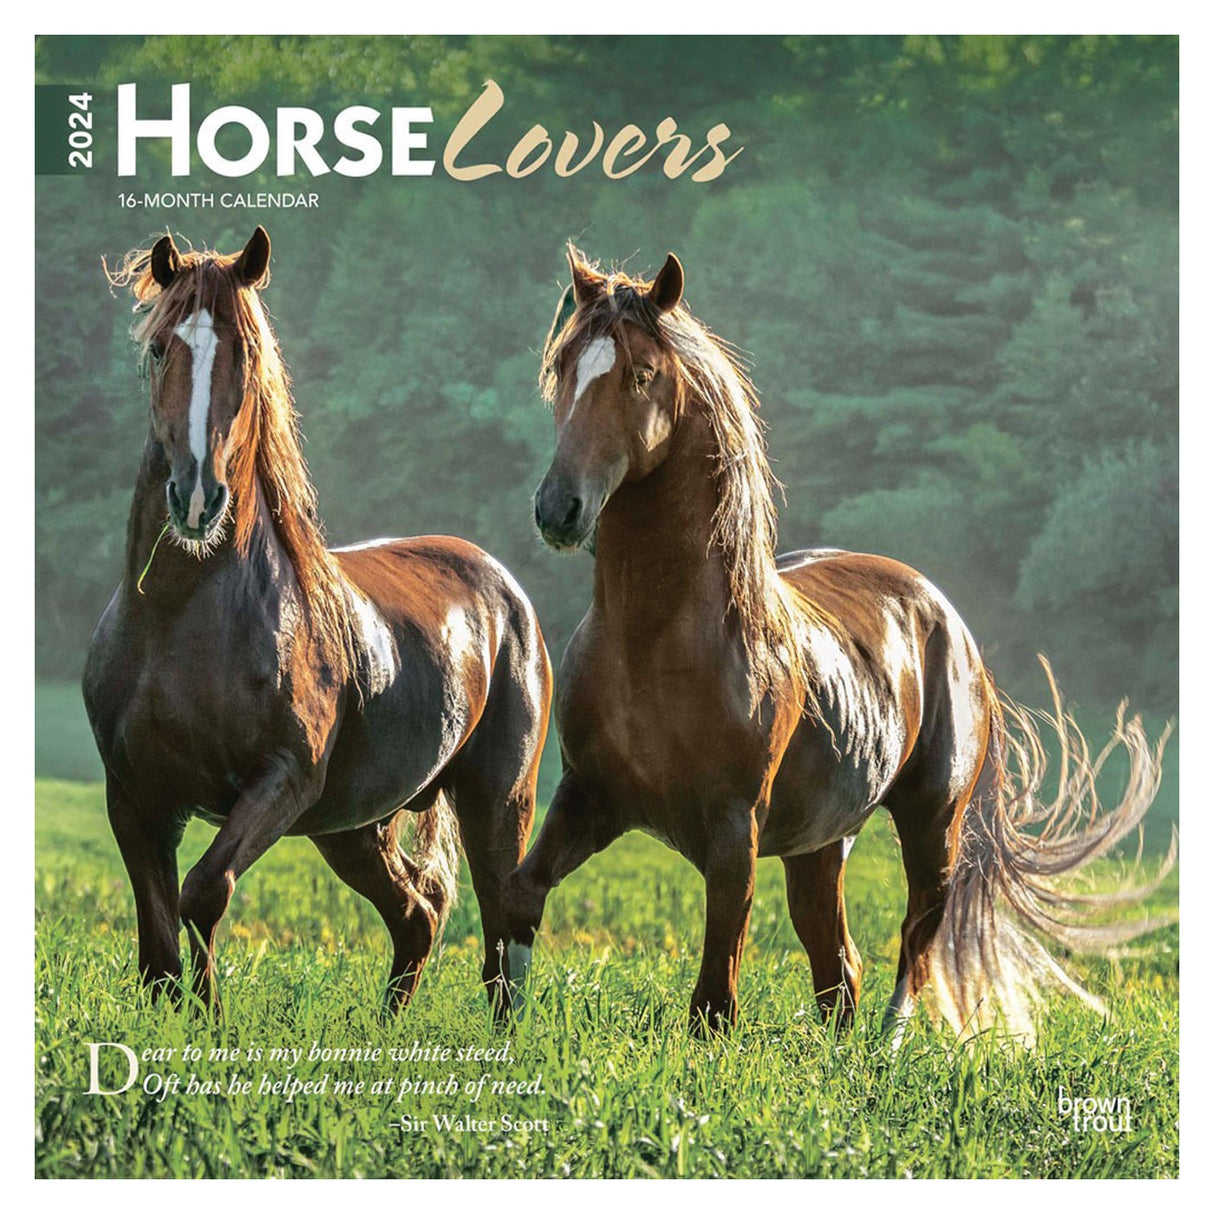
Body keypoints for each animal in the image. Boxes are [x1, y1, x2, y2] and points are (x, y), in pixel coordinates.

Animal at [84, 227, 551, 1017]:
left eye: (245, 351)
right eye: (160, 348)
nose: (196, 497)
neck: (179, 621)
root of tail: (505, 588)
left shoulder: (282, 782)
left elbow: (203, 894)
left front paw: (210, 1018)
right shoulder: (136, 797)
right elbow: (156, 947)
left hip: (496, 803)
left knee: (500, 935)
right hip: (356, 826)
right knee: (418, 916)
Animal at [503, 246, 1173, 1041]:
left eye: (641, 373)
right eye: (565, 366)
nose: (558, 509)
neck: (654, 643)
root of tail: (949, 620)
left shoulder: (734, 832)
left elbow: (714, 998)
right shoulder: (590, 796)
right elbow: (521, 894)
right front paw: (504, 1030)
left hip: (932, 827)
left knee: (914, 942)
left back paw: (887, 1046)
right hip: (821, 846)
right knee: (839, 968)